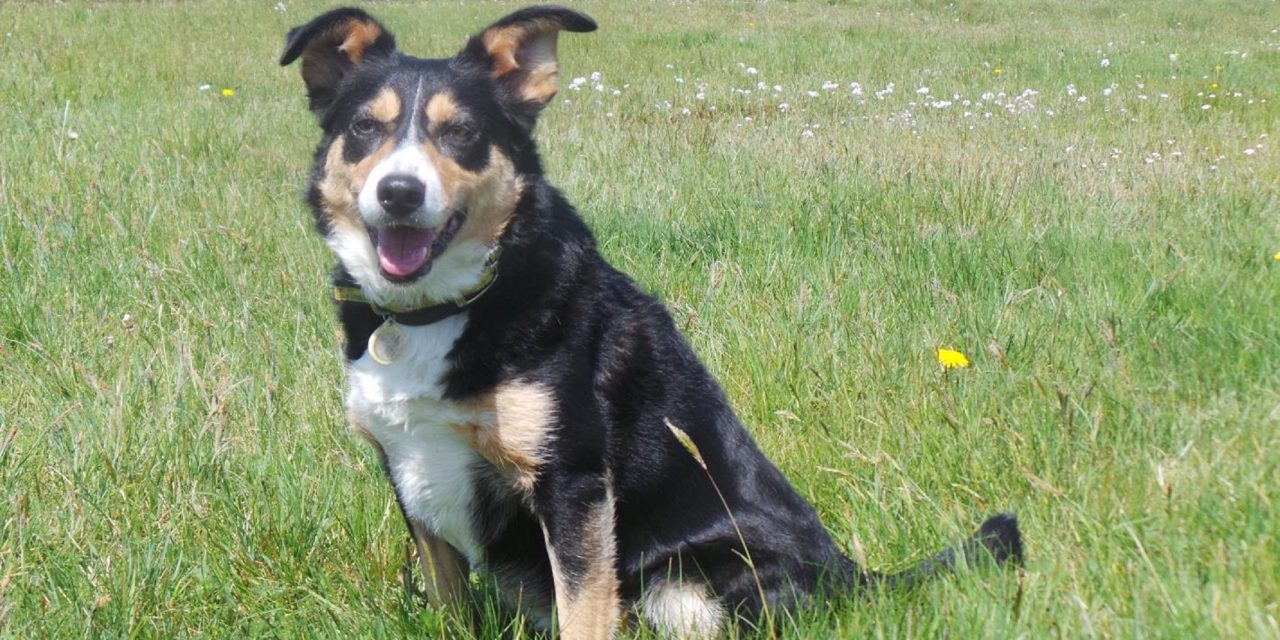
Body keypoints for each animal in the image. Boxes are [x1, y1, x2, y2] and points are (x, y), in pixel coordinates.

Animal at [280, 6, 1018, 640]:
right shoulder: (409, 467)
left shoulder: (573, 481)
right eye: (365, 128)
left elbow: (584, 609)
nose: (399, 192)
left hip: (691, 578)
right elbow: (449, 605)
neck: (443, 308)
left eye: (461, 132)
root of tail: (853, 576)